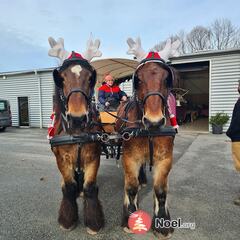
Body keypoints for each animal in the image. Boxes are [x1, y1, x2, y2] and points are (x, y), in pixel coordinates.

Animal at [49, 52, 104, 234]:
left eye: (90, 78)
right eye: (62, 78)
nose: (77, 119)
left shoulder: (93, 156)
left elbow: (89, 186)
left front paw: (94, 223)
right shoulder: (62, 159)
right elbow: (69, 186)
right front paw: (67, 220)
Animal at [116, 55, 178, 238]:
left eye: (166, 79)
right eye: (139, 80)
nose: (154, 121)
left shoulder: (165, 159)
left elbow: (160, 191)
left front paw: (162, 223)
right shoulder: (129, 157)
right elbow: (131, 187)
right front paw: (130, 217)